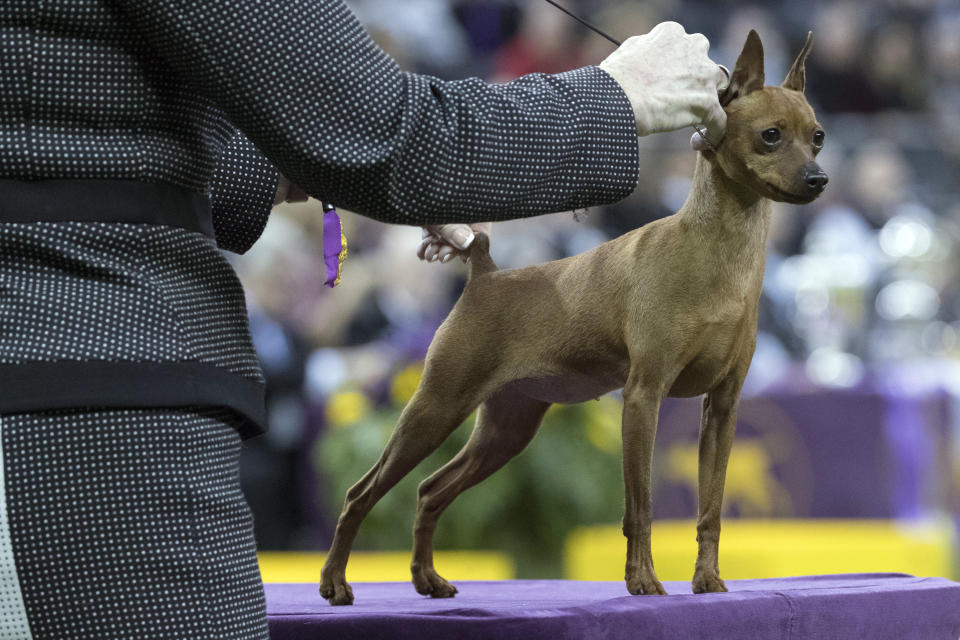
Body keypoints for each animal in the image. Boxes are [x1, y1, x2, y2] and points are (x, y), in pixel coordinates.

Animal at [320, 27, 824, 604]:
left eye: (818, 137)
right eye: (770, 136)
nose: (819, 178)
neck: (720, 253)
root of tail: (485, 274)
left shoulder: (722, 409)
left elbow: (711, 508)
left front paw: (707, 580)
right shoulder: (643, 397)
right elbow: (639, 506)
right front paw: (642, 580)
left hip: (506, 431)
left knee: (429, 491)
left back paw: (428, 578)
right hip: (435, 408)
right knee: (362, 493)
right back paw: (335, 582)